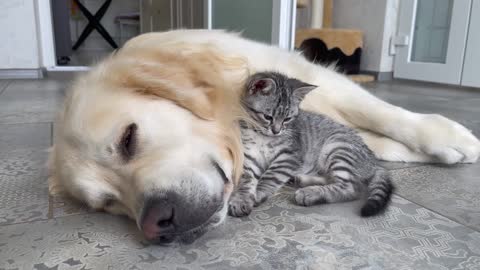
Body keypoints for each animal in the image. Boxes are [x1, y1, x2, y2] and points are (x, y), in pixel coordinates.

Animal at [229, 71, 394, 217]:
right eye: (268, 117)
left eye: (287, 119)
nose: (276, 131)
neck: (262, 137)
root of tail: (373, 161)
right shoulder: (249, 157)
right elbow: (246, 179)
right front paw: (241, 199)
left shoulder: (289, 156)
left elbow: (270, 176)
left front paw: (258, 192)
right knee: (332, 179)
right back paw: (300, 180)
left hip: (338, 148)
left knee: (351, 188)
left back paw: (310, 193)